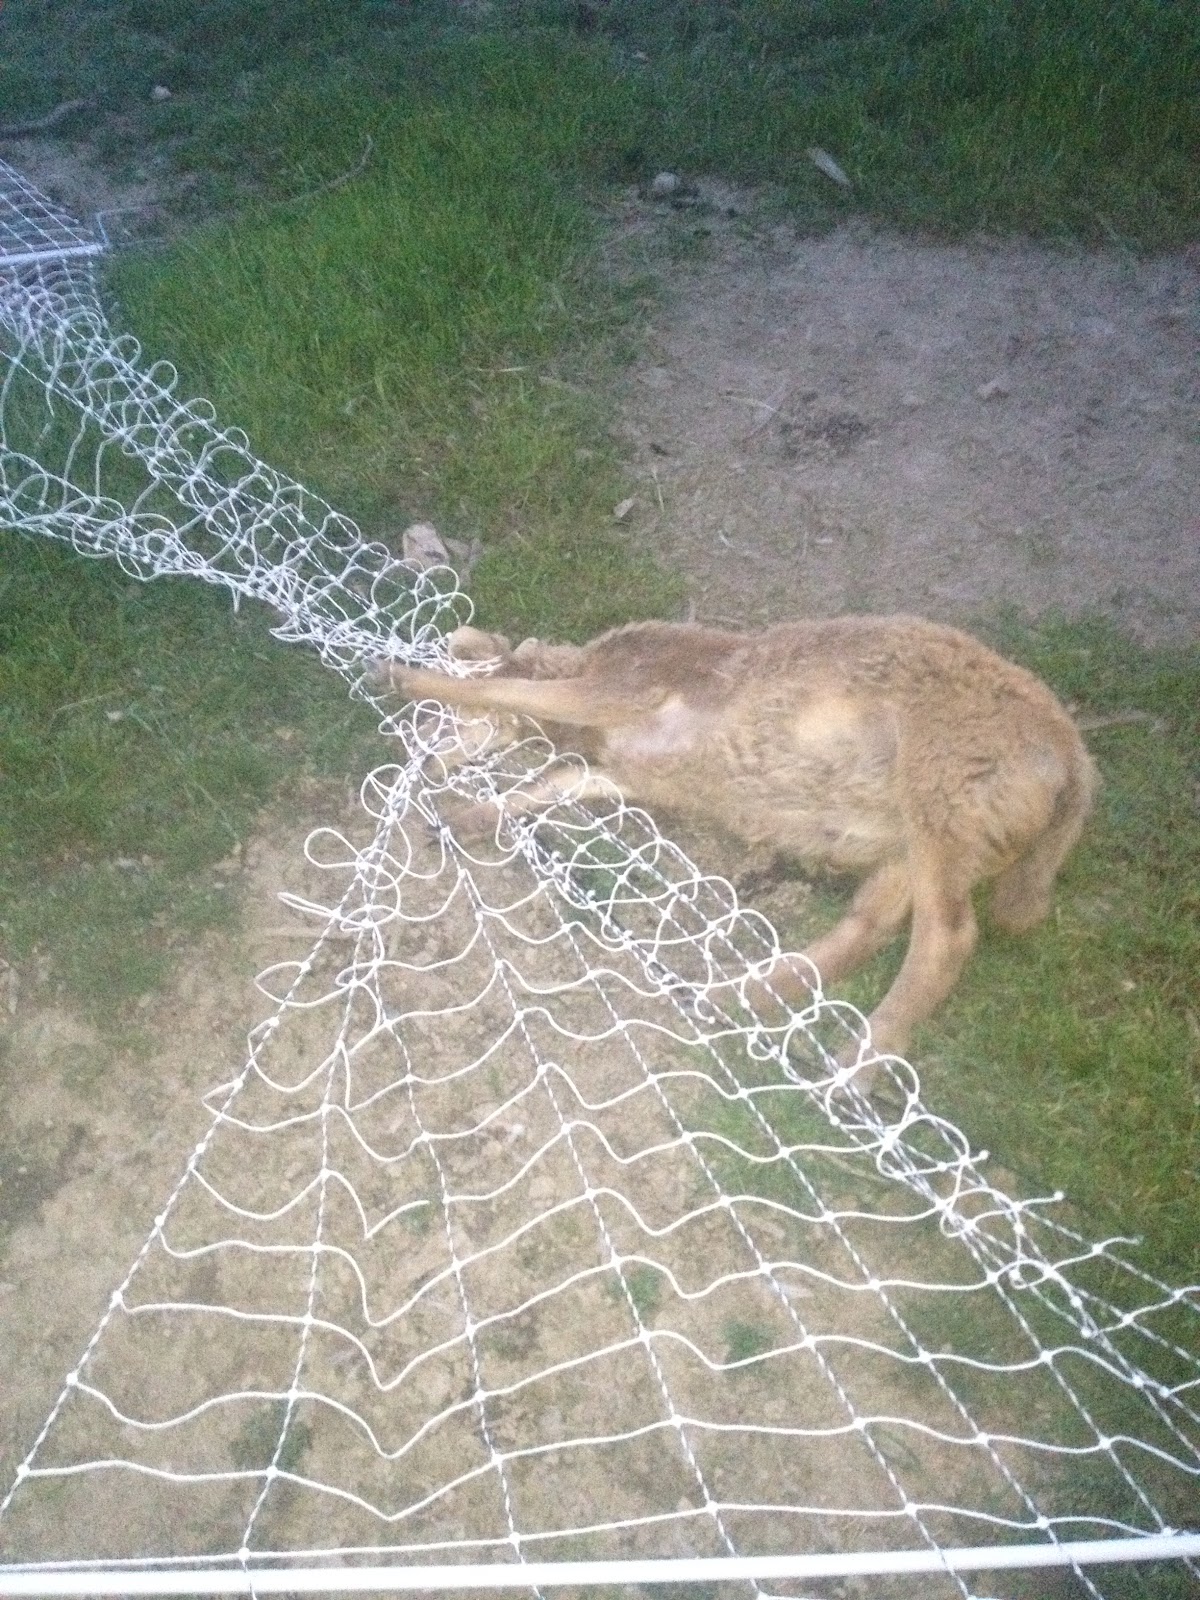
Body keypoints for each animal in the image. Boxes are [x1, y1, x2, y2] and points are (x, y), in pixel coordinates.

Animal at [373, 615, 1098, 1062]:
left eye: (448, 717)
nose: (420, 754)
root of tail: (1072, 756)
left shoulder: (626, 685)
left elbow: (511, 688)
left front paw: (404, 675)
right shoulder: (625, 770)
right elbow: (554, 783)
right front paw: (471, 818)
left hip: (943, 796)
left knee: (947, 938)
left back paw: (858, 1062)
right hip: (911, 839)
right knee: (871, 927)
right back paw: (741, 996)